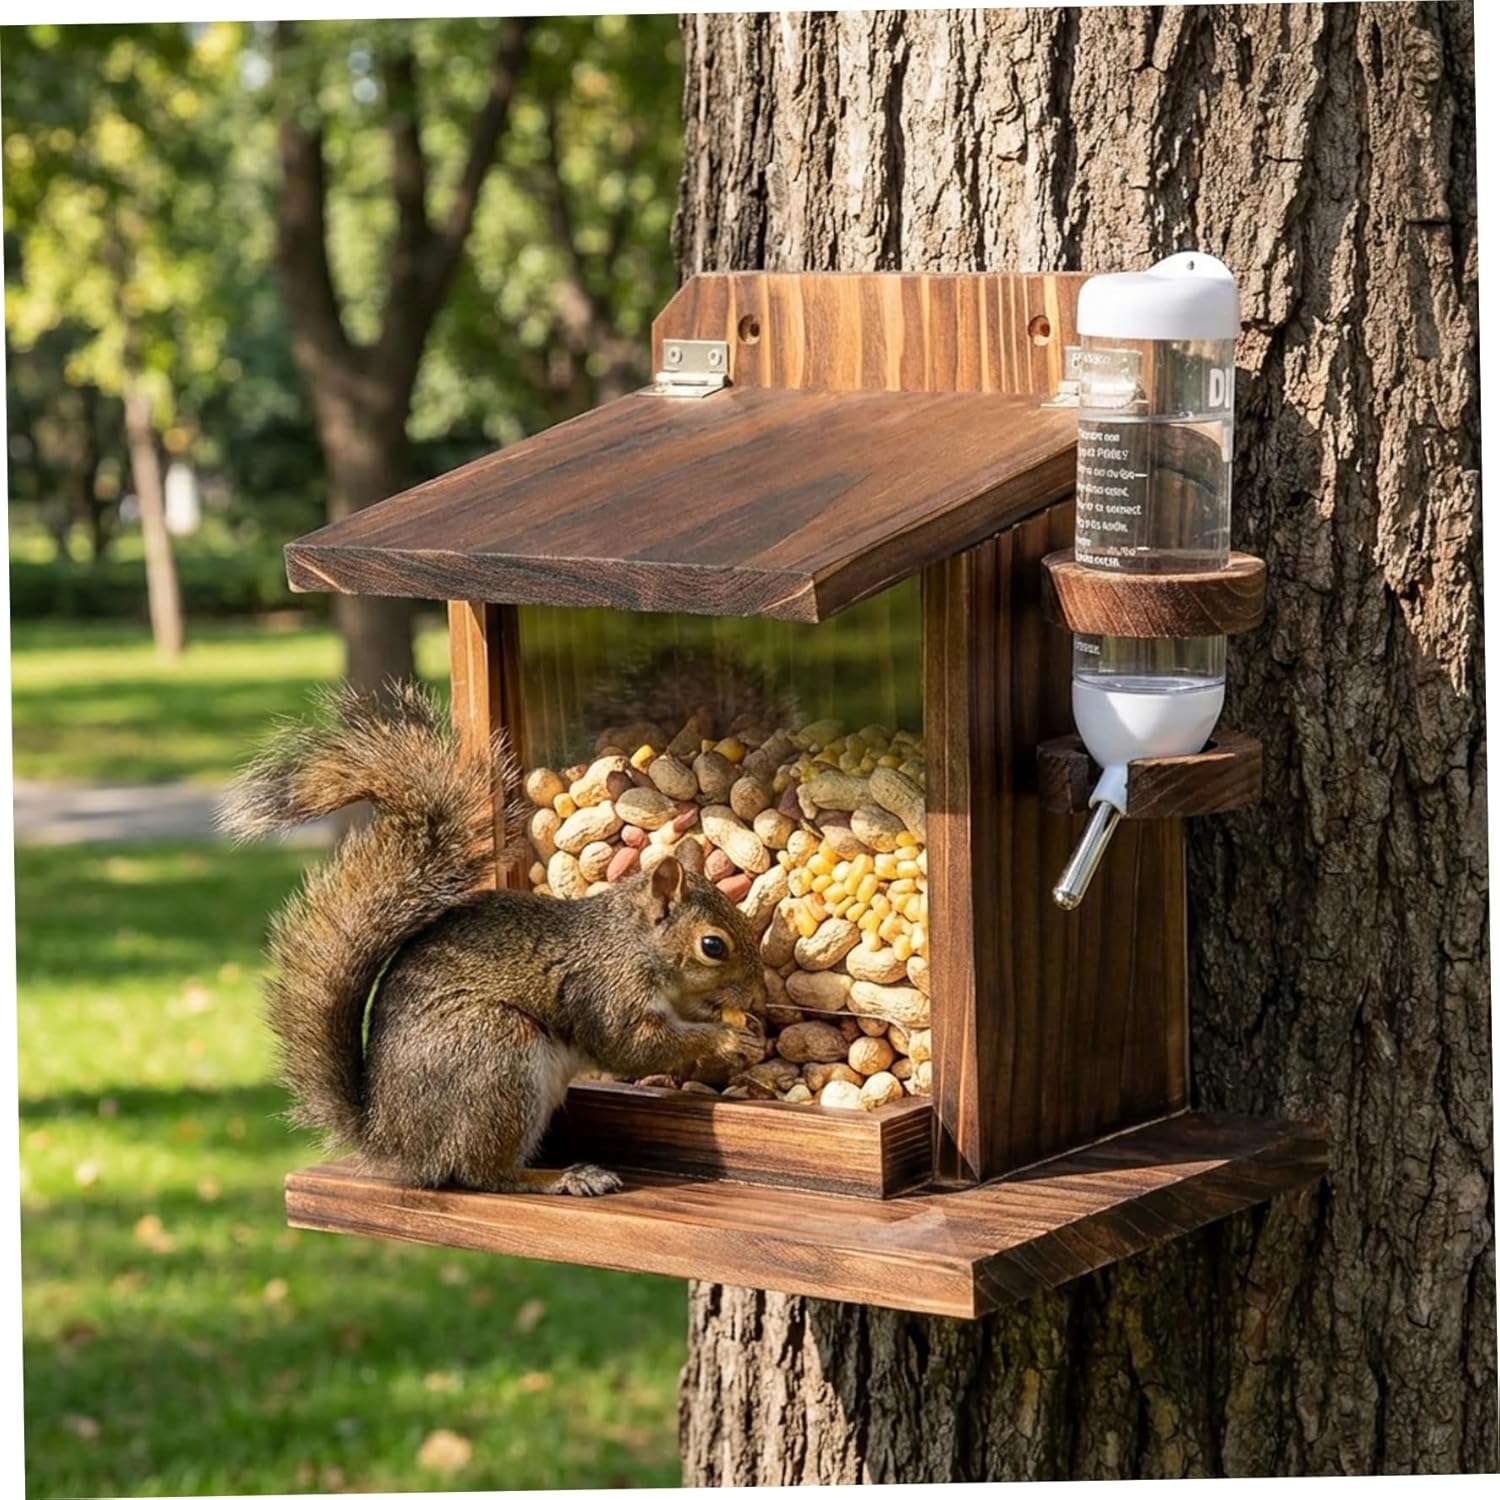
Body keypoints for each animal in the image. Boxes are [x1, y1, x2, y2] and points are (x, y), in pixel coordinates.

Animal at [219, 683, 768, 1197]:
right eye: (713, 946)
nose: (756, 993)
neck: (635, 945)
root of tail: (391, 1142)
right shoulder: (606, 993)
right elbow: (632, 1047)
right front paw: (726, 1038)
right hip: (497, 1059)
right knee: (482, 1173)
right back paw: (563, 1177)